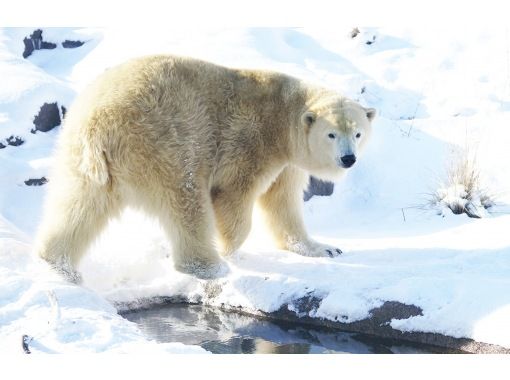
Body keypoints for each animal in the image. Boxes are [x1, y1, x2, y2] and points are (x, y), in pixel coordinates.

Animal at [34, 55, 374, 282]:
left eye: (358, 133)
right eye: (332, 134)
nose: (348, 159)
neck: (283, 112)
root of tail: (99, 123)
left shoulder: (288, 161)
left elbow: (283, 203)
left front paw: (324, 248)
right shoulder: (252, 141)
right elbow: (234, 195)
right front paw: (231, 249)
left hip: (81, 156)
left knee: (79, 203)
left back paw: (58, 263)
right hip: (163, 141)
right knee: (186, 199)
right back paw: (211, 265)